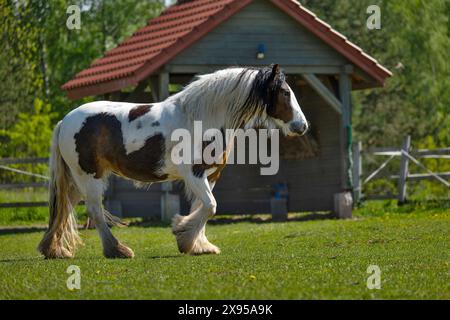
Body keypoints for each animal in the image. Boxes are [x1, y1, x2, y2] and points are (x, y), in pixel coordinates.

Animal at [38, 63, 310, 258]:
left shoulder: (210, 176)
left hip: (77, 180)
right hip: (90, 177)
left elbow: (202, 207)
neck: (201, 118)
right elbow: (210, 206)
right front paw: (183, 235)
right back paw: (117, 250)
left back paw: (54, 250)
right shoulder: (194, 174)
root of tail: (65, 121)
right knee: (94, 210)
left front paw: (198, 245)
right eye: (285, 92)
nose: (302, 125)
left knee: (65, 207)